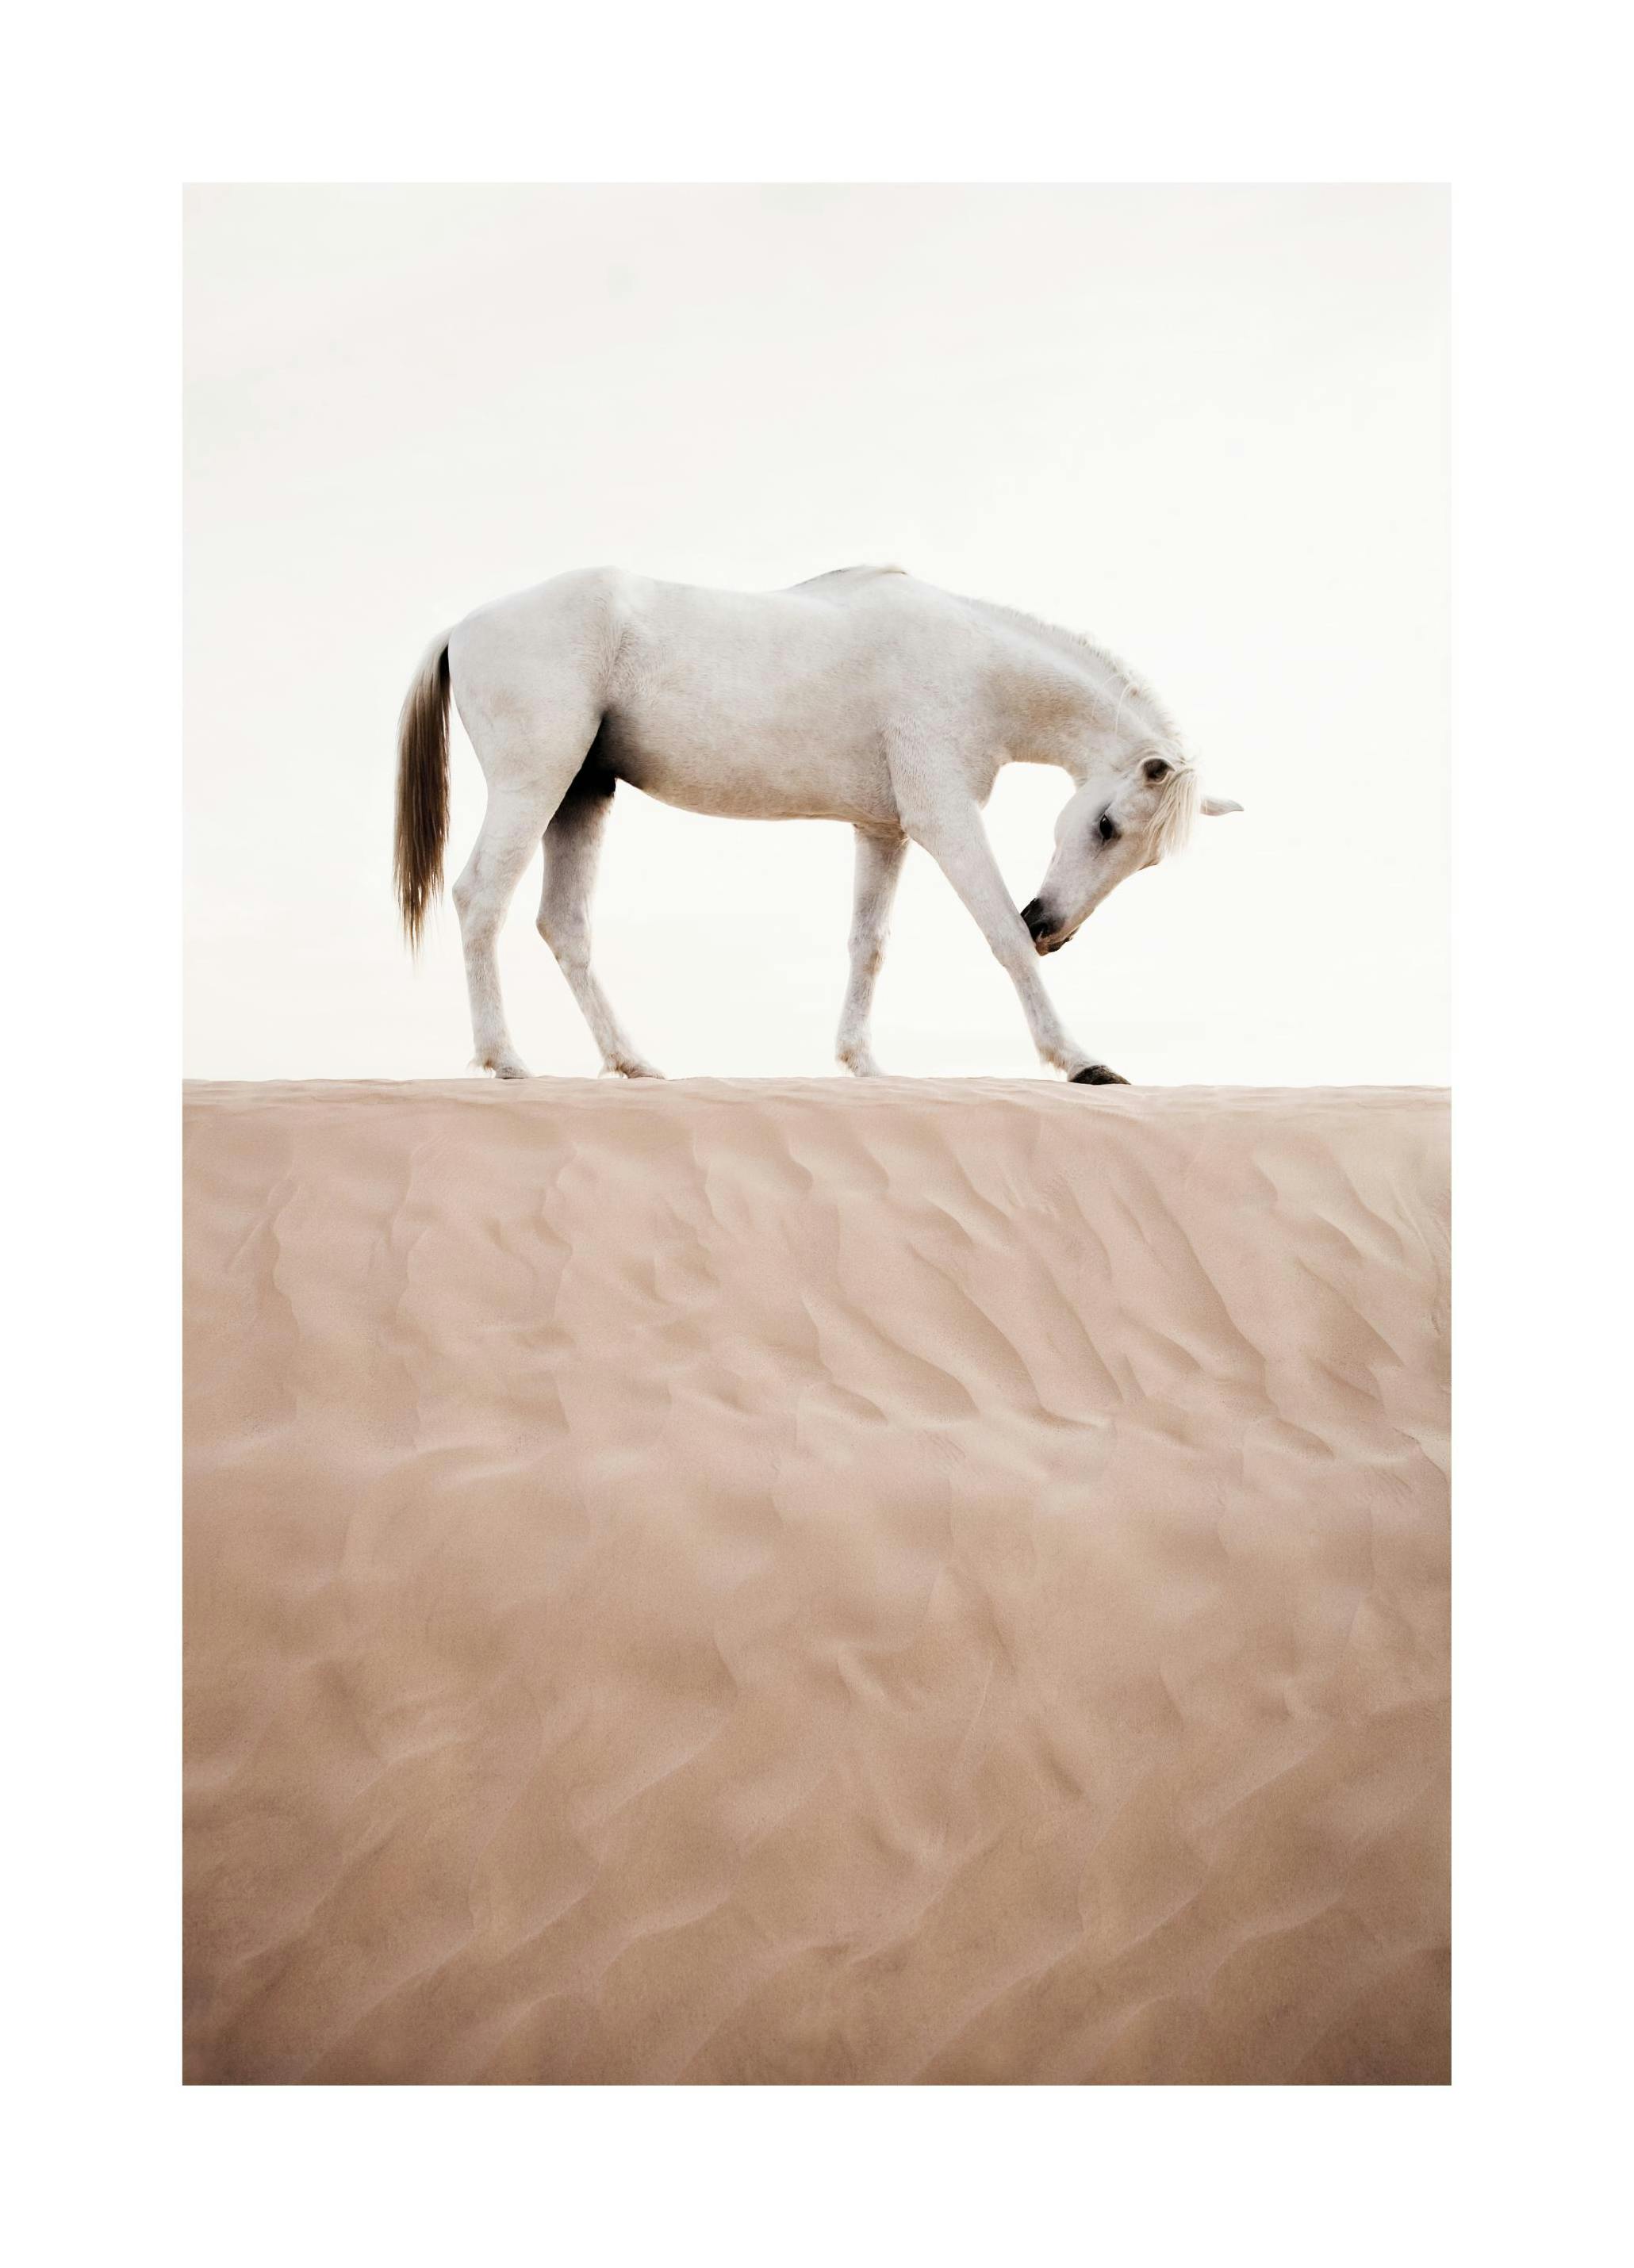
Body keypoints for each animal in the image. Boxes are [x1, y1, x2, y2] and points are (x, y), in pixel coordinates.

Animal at [394, 564, 1242, 1085]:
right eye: (1105, 826)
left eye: (1144, 858)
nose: (1051, 929)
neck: (972, 667)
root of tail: (462, 626)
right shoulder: (944, 819)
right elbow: (996, 934)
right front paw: (1076, 1059)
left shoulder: (884, 831)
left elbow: (869, 946)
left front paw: (862, 1062)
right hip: (534, 788)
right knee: (480, 901)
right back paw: (505, 1060)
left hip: (580, 796)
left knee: (563, 925)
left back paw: (631, 1063)